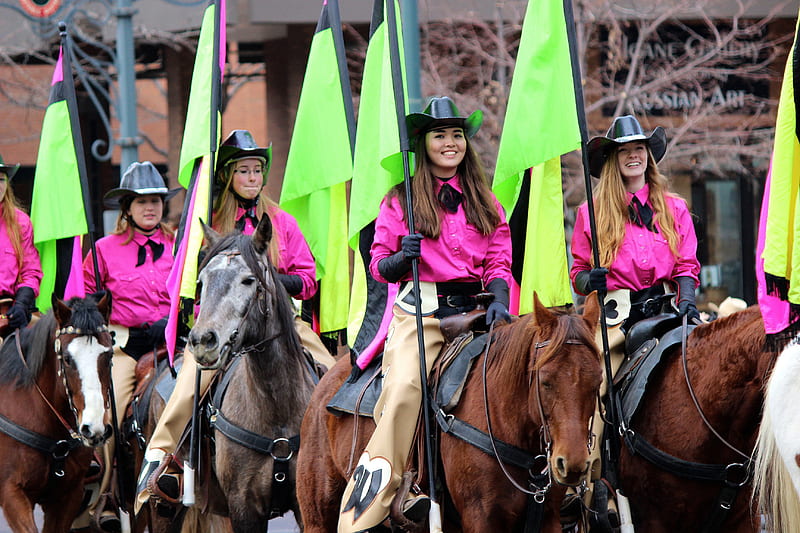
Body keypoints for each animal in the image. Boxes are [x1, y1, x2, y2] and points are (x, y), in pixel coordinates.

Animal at [298, 294, 600, 528]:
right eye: (545, 381)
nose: (571, 464)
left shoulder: (548, 518)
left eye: (596, 383)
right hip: (318, 517)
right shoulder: (481, 518)